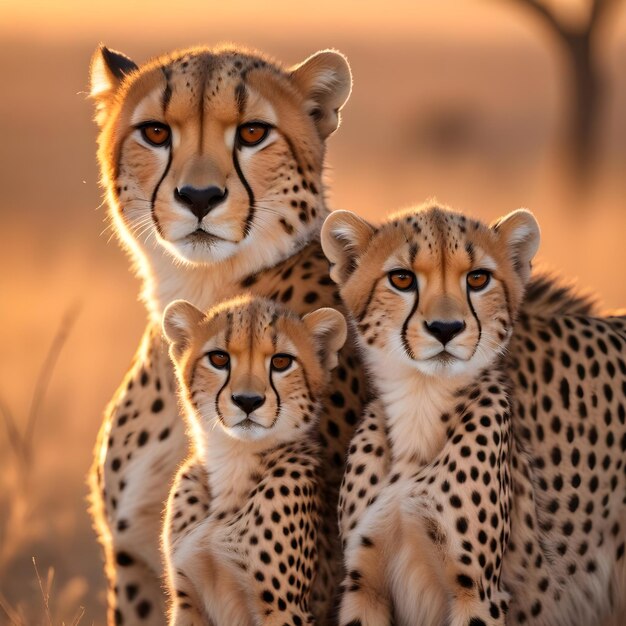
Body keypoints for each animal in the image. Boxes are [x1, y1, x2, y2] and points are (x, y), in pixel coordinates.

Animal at [161, 294, 346, 620]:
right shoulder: (186, 600)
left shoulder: (284, 609)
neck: (234, 462)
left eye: (281, 362)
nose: (248, 401)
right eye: (219, 359)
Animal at [322, 205, 624, 624]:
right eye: (402, 279)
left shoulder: (478, 591)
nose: (445, 328)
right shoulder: (363, 584)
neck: (421, 405)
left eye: (478, 278)